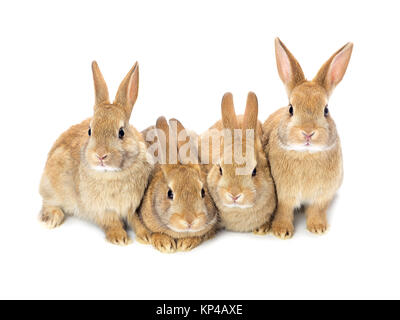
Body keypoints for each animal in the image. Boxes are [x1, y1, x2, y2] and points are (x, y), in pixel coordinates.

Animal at [38, 60, 153, 245]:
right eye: (90, 131)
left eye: (121, 132)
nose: (100, 155)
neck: (113, 173)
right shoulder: (102, 209)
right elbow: (111, 221)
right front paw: (119, 238)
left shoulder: (131, 205)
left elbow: (136, 220)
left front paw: (146, 236)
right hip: (52, 185)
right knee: (48, 202)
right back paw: (52, 218)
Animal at [262, 37, 354, 239]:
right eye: (291, 109)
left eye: (326, 110)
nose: (308, 132)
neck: (307, 153)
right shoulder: (284, 195)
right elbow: (284, 210)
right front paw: (281, 231)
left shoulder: (322, 195)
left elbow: (317, 210)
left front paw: (318, 228)